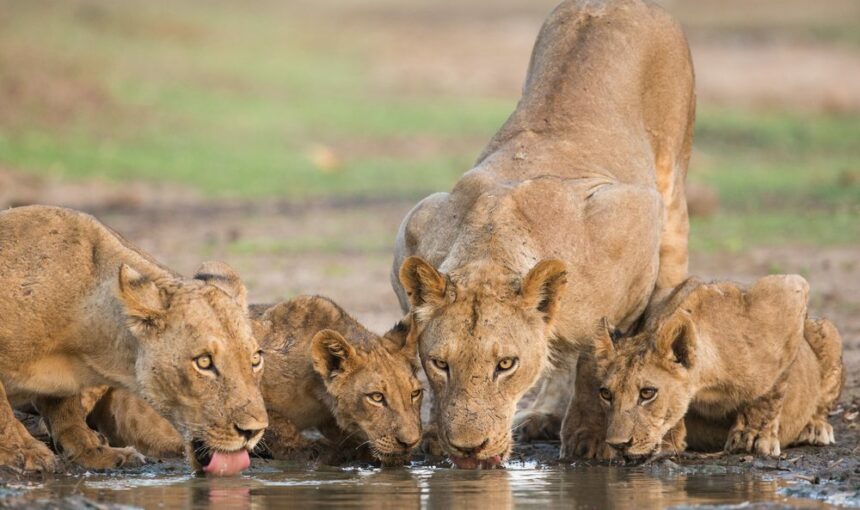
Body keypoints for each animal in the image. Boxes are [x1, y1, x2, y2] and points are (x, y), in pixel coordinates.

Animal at [394, 0, 696, 468]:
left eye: (506, 364)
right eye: (441, 364)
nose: (468, 450)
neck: (491, 244)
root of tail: (615, 3)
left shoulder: (632, 213)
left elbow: (593, 358)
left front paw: (590, 436)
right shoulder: (416, 226)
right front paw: (431, 431)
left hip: (672, 187)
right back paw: (544, 416)